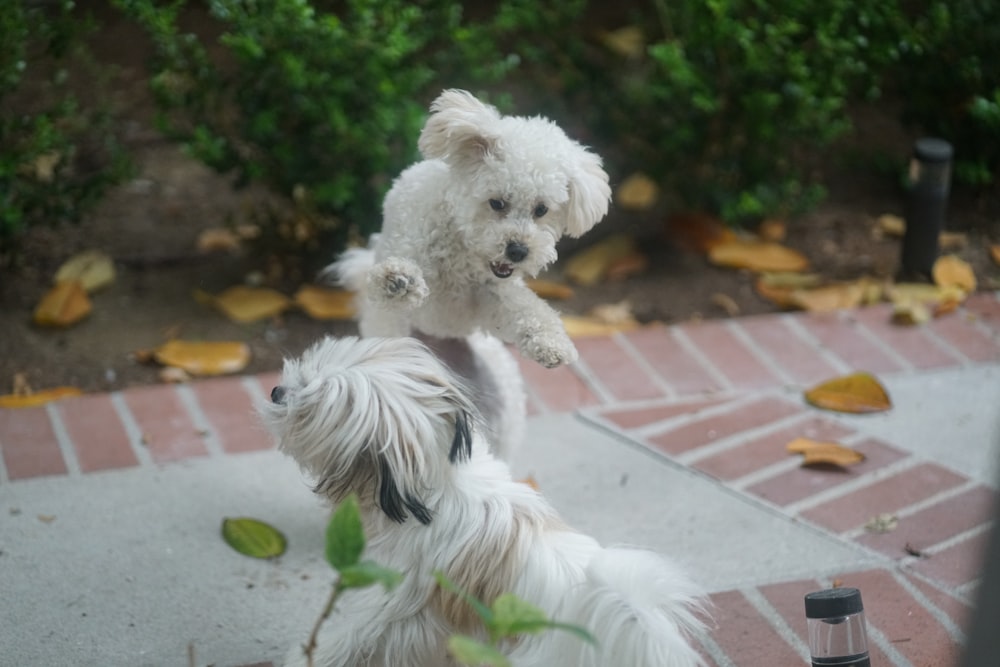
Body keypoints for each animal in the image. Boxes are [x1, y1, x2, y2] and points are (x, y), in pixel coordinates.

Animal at [262, 336, 708, 667]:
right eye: (307, 365)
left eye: (311, 405)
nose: (277, 390)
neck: (432, 483)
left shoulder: (403, 601)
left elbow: (359, 633)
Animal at [334, 87, 608, 370]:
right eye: (496, 203)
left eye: (541, 209)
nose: (518, 251)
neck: (461, 250)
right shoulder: (422, 293)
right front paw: (397, 280)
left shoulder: (487, 298)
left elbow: (525, 309)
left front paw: (551, 342)